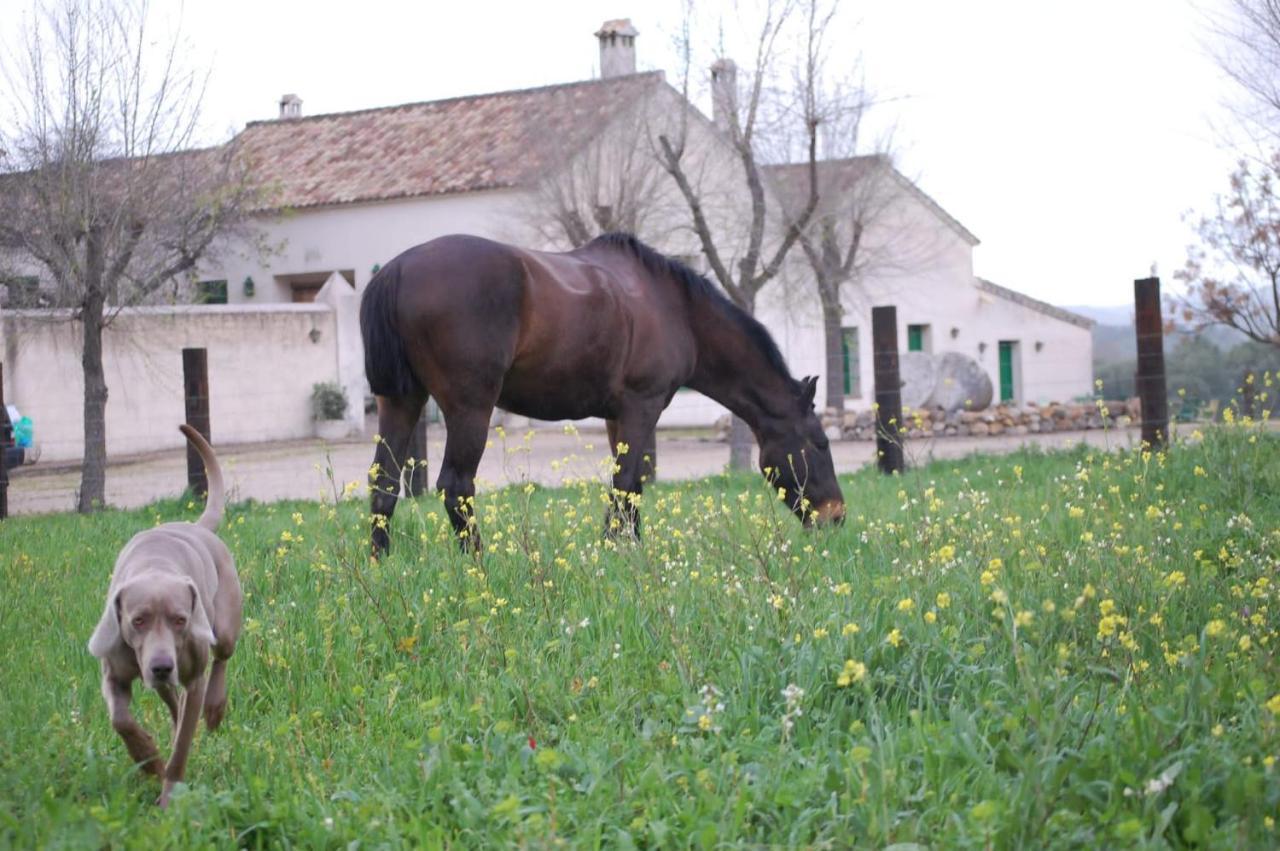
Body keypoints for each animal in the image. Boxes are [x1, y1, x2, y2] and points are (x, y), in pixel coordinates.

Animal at [88, 424, 243, 808]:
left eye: (180, 619)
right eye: (137, 620)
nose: (161, 666)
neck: (154, 566)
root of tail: (197, 526)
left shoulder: (193, 672)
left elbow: (183, 745)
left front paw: (170, 795)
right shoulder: (116, 669)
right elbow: (121, 719)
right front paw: (148, 758)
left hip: (224, 624)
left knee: (221, 658)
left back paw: (214, 708)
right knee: (173, 700)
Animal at [360, 229, 844, 555]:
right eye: (820, 443)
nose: (836, 516)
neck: (676, 310)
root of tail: (397, 271)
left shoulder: (618, 416)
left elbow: (632, 486)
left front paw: (632, 547)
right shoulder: (642, 406)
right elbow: (625, 483)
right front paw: (614, 550)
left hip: (400, 402)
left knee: (384, 482)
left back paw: (381, 563)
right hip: (470, 409)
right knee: (456, 486)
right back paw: (478, 563)